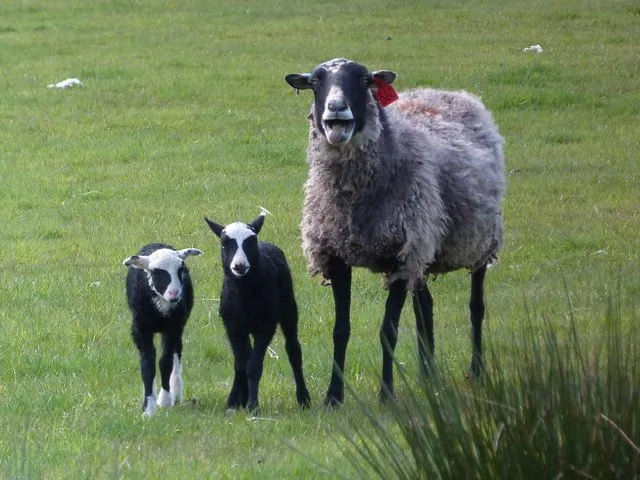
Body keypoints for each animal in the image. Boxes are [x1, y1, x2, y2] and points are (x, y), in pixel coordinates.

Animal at [123, 243, 203, 416]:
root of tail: (157, 244)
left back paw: (176, 392)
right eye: (154, 271)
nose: (174, 293)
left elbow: (165, 362)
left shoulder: (173, 328)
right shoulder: (141, 329)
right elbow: (147, 364)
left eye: (181, 269)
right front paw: (148, 408)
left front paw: (165, 400)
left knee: (176, 353)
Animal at [204, 210, 311, 412]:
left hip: (288, 308)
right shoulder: (233, 327)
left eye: (251, 242)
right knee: (247, 354)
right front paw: (233, 403)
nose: (239, 266)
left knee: (293, 350)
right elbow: (240, 365)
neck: (244, 294)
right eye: (224, 244)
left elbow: (253, 366)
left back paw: (304, 398)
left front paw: (253, 406)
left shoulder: (265, 326)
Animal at [285, 58, 506, 406]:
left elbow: (388, 330)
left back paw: (477, 371)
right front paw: (333, 396)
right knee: (425, 308)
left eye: (364, 80)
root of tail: (447, 92)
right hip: (425, 248)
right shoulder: (338, 254)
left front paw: (386, 393)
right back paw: (428, 376)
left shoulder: (402, 255)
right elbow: (340, 329)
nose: (336, 110)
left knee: (476, 307)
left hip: (479, 241)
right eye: (315, 81)